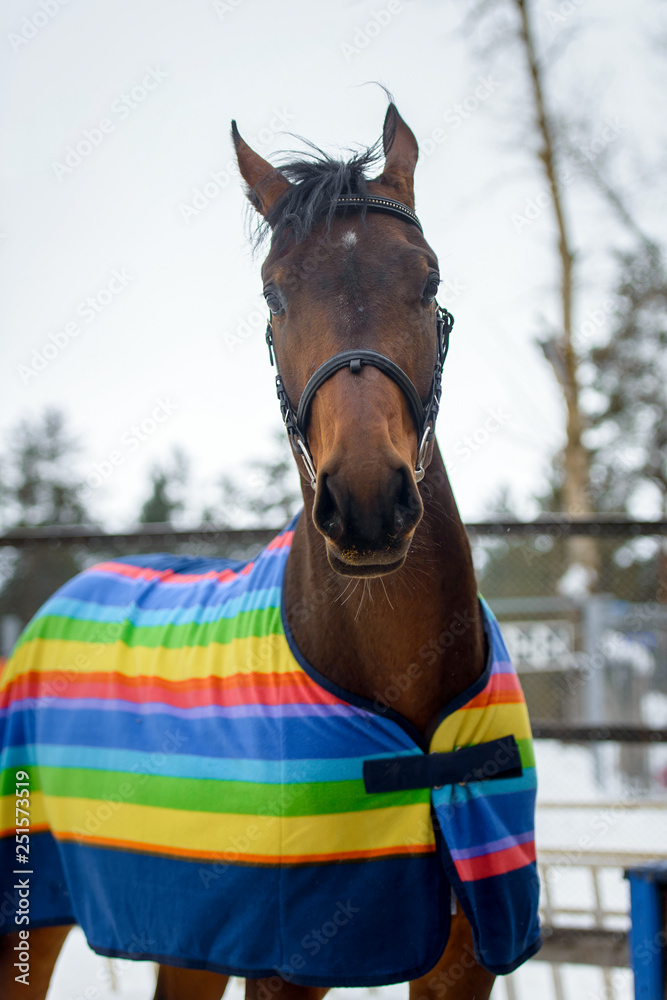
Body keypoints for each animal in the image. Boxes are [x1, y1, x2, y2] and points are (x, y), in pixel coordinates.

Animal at [0, 103, 540, 1000]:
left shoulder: (466, 960)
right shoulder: (288, 964)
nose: (366, 503)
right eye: (273, 291)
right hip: (31, 916)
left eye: (427, 278)